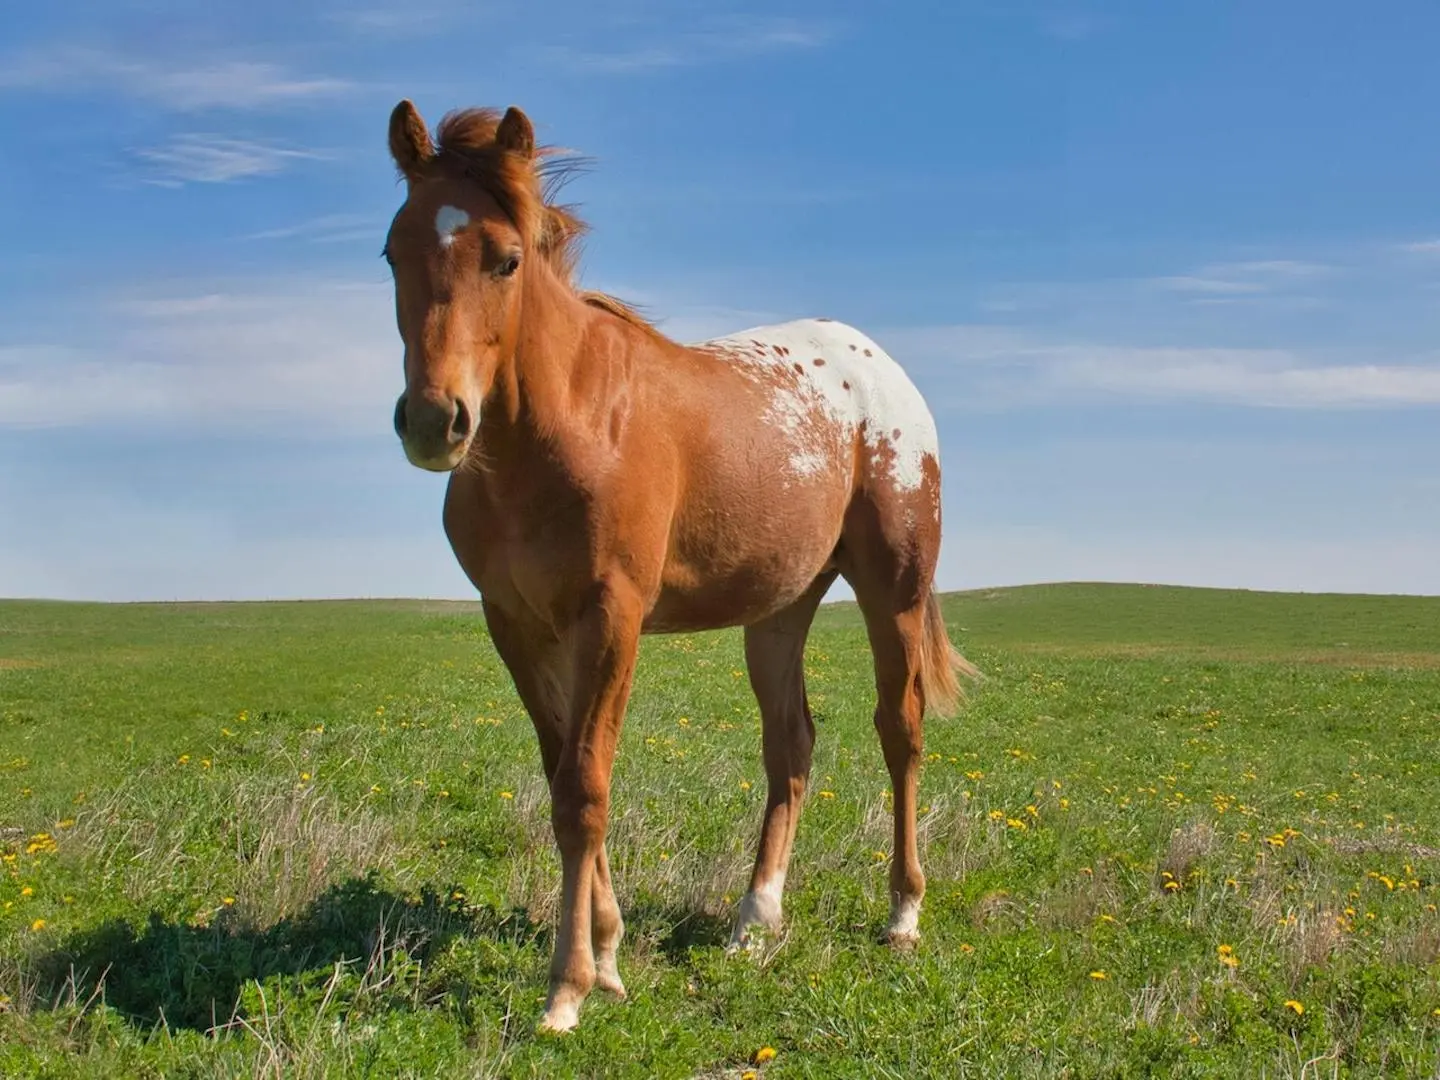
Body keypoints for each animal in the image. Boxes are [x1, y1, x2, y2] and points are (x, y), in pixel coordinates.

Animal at [383, 103, 979, 1042]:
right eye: (393, 253)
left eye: (505, 258)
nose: (434, 421)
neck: (558, 429)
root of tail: (877, 364)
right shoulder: (516, 626)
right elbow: (561, 776)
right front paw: (610, 955)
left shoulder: (611, 618)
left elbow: (584, 790)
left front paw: (569, 987)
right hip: (778, 610)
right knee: (791, 745)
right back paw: (755, 920)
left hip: (895, 589)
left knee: (901, 731)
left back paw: (902, 913)